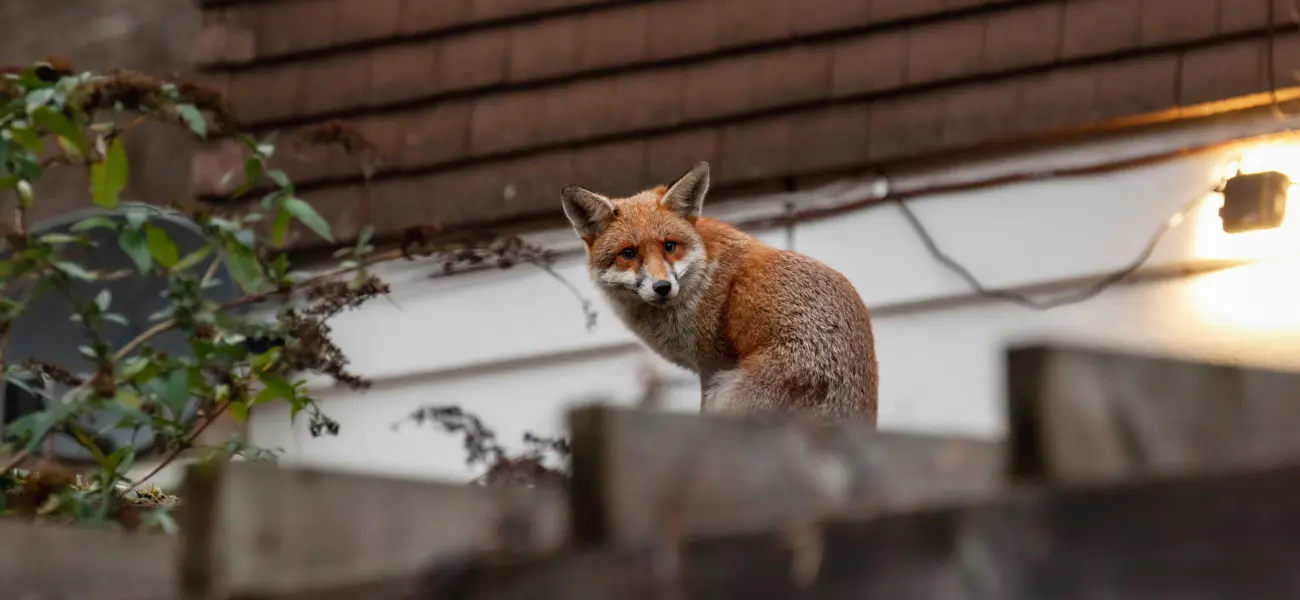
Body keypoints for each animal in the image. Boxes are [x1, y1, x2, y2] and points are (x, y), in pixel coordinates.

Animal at [560, 161, 878, 424]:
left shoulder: (712, 366)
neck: (702, 277)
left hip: (730, 392)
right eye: (628, 253)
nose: (662, 287)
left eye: (669, 246)